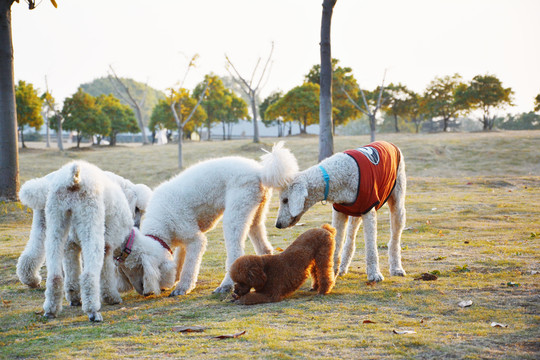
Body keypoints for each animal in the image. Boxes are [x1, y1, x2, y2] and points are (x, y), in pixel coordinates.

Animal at [134, 141, 296, 296]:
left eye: (141, 272)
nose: (144, 293)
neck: (161, 222)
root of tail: (260, 172)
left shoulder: (194, 239)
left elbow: (189, 266)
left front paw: (182, 287)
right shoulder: (184, 239)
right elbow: (180, 259)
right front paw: (176, 279)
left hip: (235, 213)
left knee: (235, 253)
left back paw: (226, 285)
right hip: (255, 214)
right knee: (264, 247)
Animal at [276, 142, 408, 282]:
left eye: (285, 200)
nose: (277, 224)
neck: (333, 176)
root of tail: (388, 143)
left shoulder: (369, 211)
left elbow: (371, 246)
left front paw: (374, 274)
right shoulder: (339, 212)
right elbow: (337, 243)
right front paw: (331, 273)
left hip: (397, 203)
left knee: (394, 240)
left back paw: (396, 268)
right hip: (356, 213)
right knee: (350, 241)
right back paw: (343, 268)